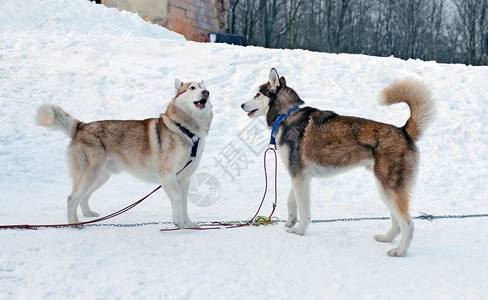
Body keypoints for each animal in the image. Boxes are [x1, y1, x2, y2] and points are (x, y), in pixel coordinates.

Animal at [36, 79, 212, 227]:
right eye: (192, 88)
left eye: (203, 87)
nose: (206, 92)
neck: (186, 131)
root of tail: (81, 126)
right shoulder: (168, 176)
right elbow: (177, 200)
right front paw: (178, 223)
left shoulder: (184, 179)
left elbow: (184, 204)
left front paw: (189, 224)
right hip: (90, 174)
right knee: (72, 199)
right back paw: (74, 223)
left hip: (100, 177)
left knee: (83, 197)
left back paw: (88, 214)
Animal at [242, 69, 436, 256]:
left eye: (257, 94)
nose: (242, 105)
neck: (286, 115)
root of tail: (404, 131)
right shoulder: (301, 176)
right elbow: (291, 200)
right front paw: (290, 221)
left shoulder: (298, 176)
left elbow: (304, 211)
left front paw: (299, 230)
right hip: (384, 189)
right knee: (397, 223)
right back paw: (386, 238)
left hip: (388, 188)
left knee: (408, 224)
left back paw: (400, 251)